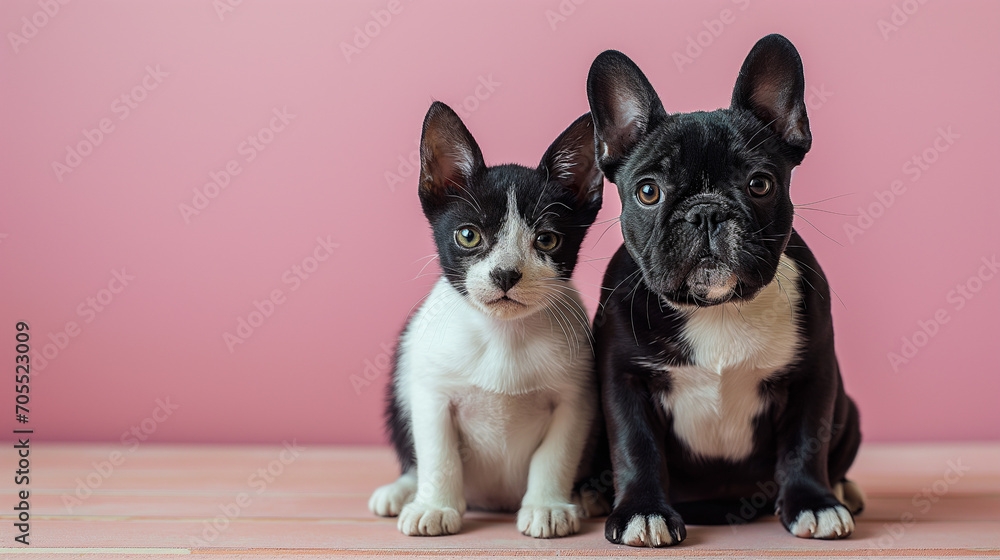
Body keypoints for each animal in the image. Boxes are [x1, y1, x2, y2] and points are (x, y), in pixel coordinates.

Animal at [368, 101, 600, 540]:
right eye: (468, 236)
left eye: (547, 240)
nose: (506, 274)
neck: (503, 335)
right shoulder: (431, 392)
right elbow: (437, 452)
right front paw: (435, 507)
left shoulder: (576, 398)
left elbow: (556, 454)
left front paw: (546, 505)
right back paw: (402, 491)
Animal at [588, 35, 864, 548]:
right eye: (648, 192)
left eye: (760, 184)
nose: (707, 212)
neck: (717, 308)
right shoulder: (624, 380)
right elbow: (635, 446)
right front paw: (642, 512)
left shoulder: (812, 374)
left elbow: (805, 442)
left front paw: (814, 503)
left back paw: (843, 489)